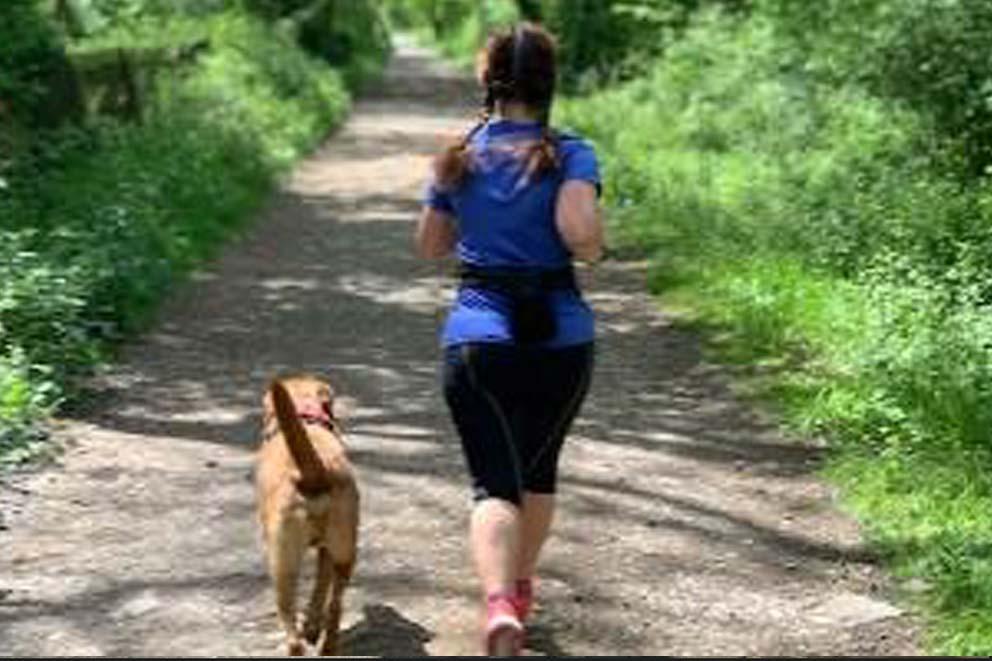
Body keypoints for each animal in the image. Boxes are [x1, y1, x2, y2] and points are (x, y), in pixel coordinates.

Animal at [256, 372, 360, 656]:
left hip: (281, 566)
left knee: (291, 628)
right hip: (344, 552)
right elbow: (319, 591)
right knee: (335, 606)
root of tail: (312, 474)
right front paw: (313, 626)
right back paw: (327, 645)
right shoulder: (327, 551)